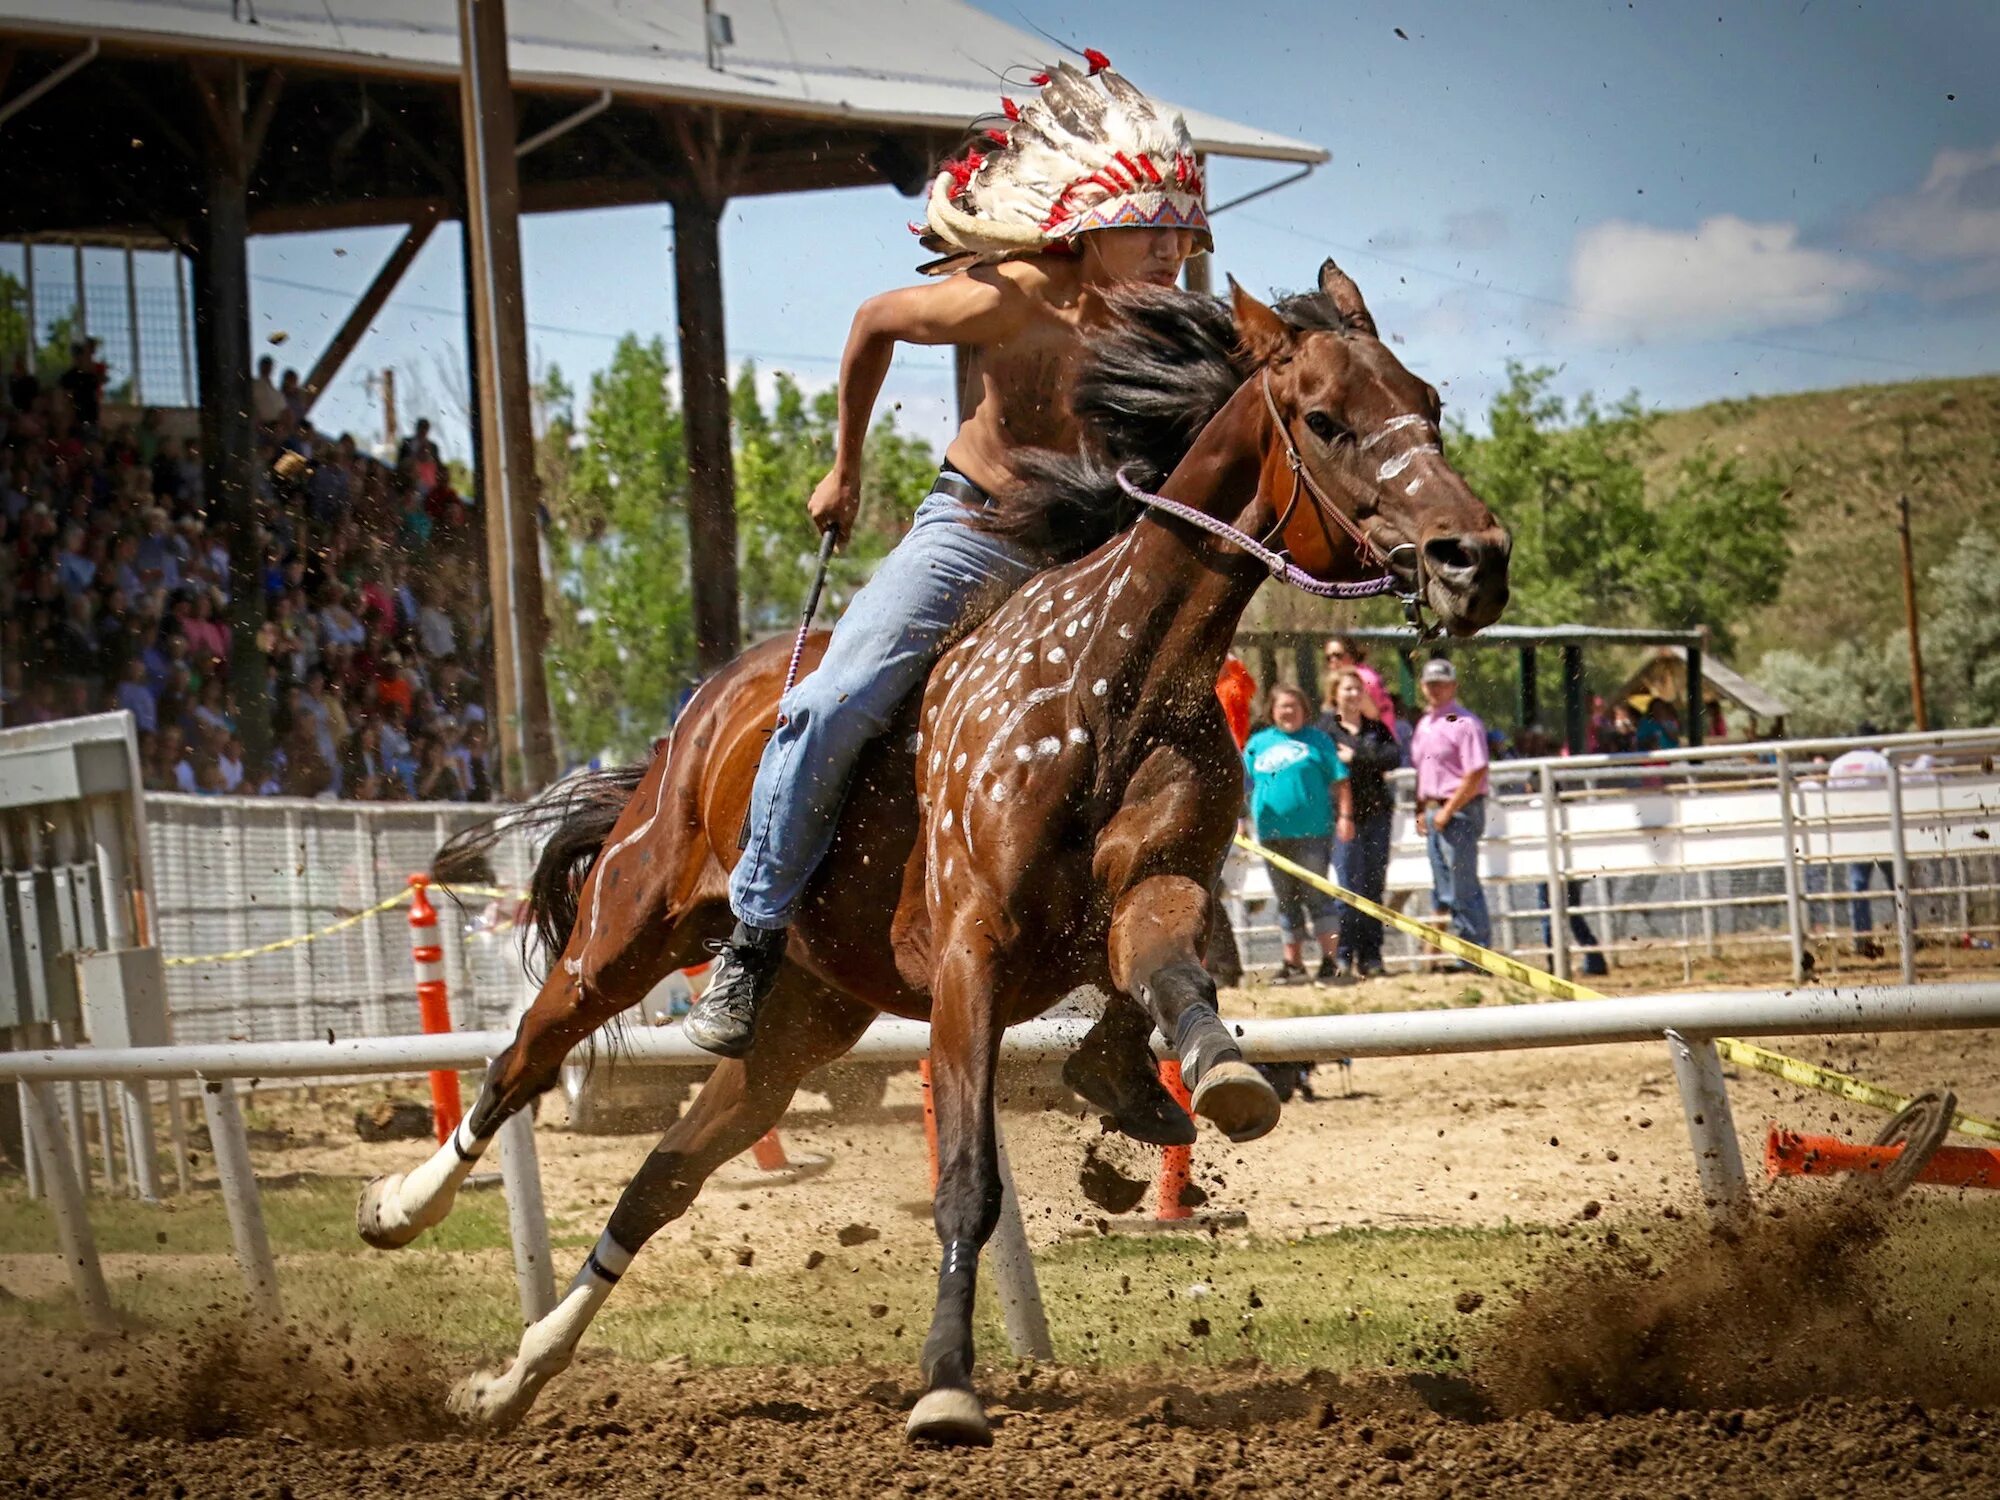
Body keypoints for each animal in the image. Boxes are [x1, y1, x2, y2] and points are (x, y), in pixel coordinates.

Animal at [360, 264, 1504, 1448]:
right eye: (1324, 419)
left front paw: (1208, 1074)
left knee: (661, 1176)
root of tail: (700, 718)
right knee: (522, 1058)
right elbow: (965, 1178)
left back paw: (513, 1377)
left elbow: (1171, 972)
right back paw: (401, 1207)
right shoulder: (969, 957)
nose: (1474, 557)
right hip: (629, 927)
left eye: (1428, 401)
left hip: (800, 1021)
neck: (1112, 676)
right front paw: (948, 1382)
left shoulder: (1158, 887)